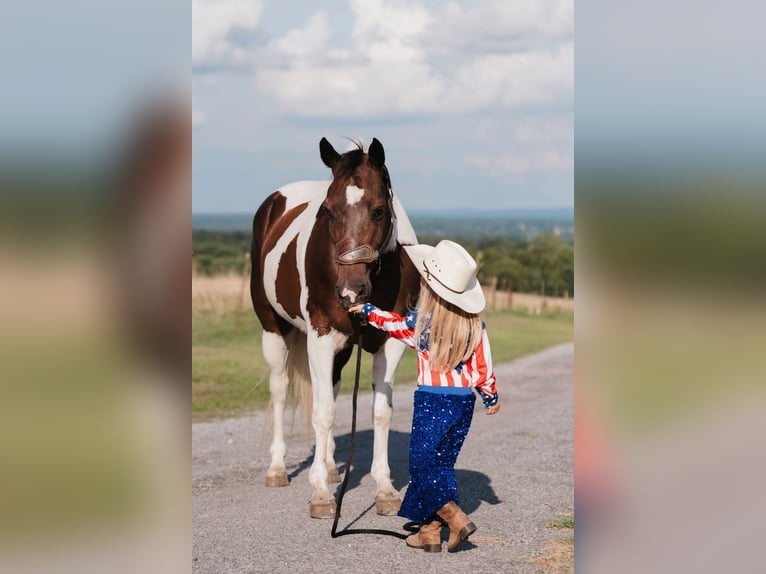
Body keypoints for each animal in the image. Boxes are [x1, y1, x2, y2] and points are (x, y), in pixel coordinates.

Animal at [250, 137, 420, 520]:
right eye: (327, 211)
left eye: (378, 210)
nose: (350, 291)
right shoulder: (321, 335)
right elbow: (323, 411)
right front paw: (320, 495)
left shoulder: (391, 342)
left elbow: (381, 411)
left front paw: (385, 489)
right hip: (274, 329)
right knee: (280, 390)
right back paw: (278, 469)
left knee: (331, 385)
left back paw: (327, 465)